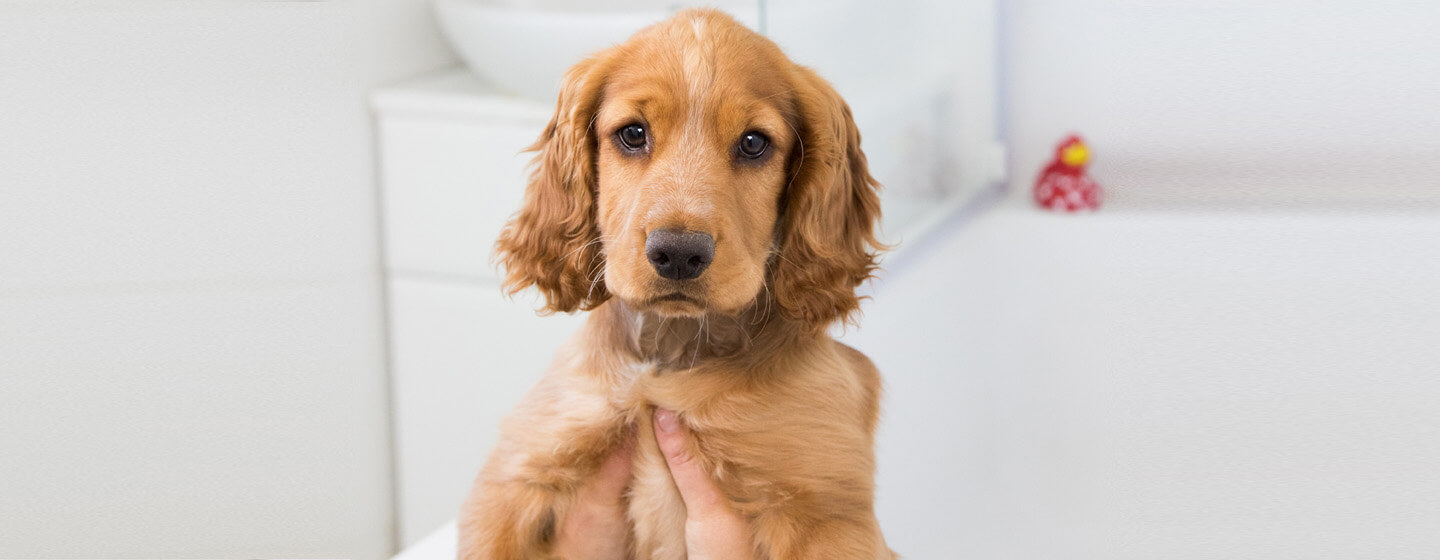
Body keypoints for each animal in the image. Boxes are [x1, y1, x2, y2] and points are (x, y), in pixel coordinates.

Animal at [457, 8, 887, 558]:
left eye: (754, 143)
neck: (668, 355)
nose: (679, 255)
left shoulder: (829, 510)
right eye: (632, 134)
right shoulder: (517, 474)